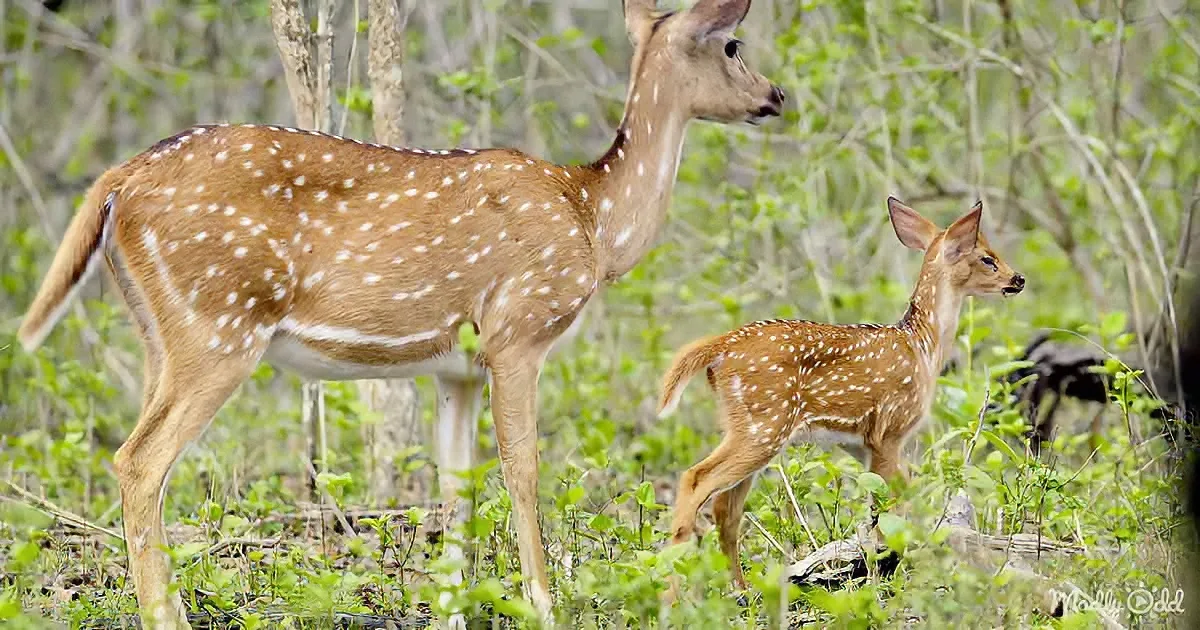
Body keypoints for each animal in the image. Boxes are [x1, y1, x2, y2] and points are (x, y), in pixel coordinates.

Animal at [16, 0, 783, 627]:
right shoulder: (518, 333)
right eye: (732, 45)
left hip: (159, 332)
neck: (592, 218)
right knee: (139, 461)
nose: (776, 96)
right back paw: (163, 615)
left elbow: (456, 489)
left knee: (142, 458)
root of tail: (119, 181)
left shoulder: (456, 371)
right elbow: (523, 470)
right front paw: (543, 604)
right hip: (221, 324)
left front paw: (454, 610)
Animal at [656, 198, 1025, 595]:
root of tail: (721, 346)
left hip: (747, 425)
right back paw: (674, 591)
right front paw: (885, 574)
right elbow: (888, 506)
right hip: (764, 423)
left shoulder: (860, 443)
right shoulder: (889, 429)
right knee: (696, 479)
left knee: (727, 510)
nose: (1018, 279)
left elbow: (894, 501)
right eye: (987, 258)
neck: (922, 346)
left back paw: (741, 590)